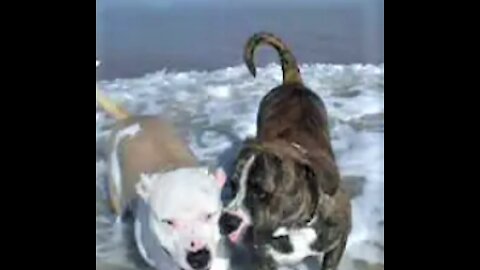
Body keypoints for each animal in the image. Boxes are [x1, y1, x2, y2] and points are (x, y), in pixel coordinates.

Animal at [223, 32, 350, 268]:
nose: (226, 221)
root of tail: (292, 83)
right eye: (233, 186)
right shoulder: (265, 258)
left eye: (262, 193)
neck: (296, 227)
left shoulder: (338, 240)